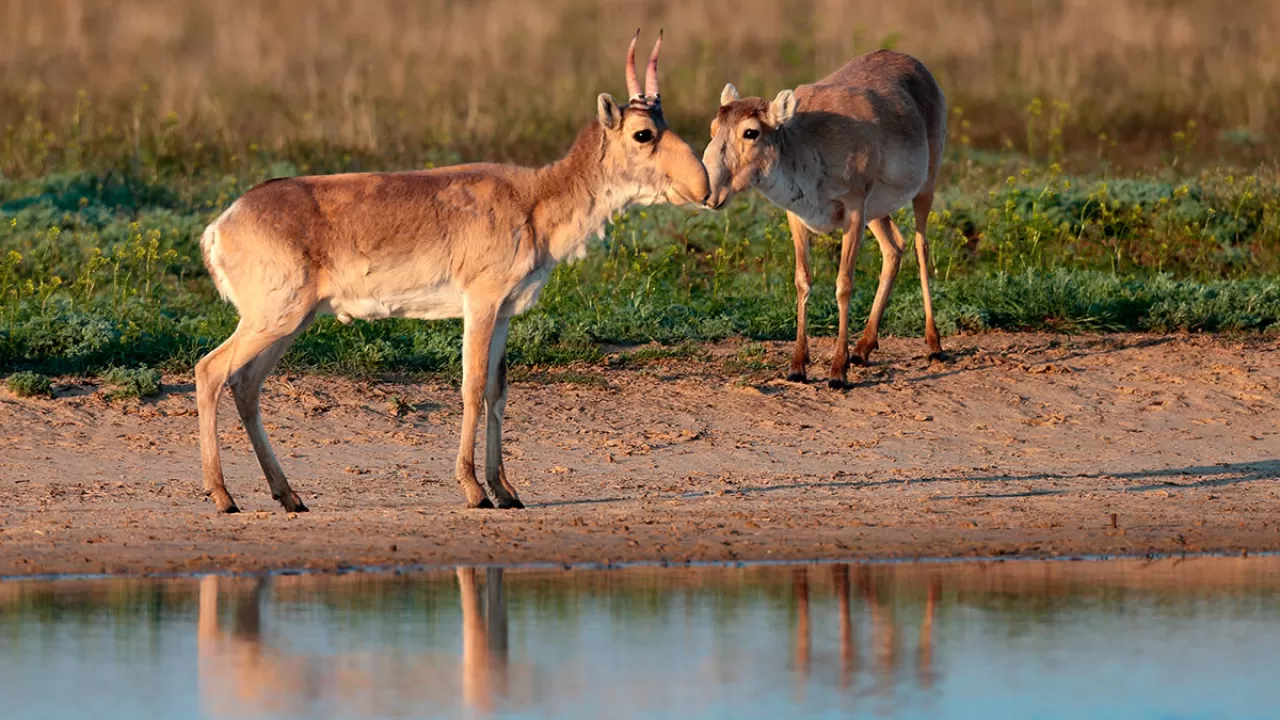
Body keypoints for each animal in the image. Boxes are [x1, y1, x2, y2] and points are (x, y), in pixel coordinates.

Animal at [197, 33, 711, 512]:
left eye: (665, 123)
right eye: (643, 134)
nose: (703, 187)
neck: (535, 199)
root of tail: (222, 224)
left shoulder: (504, 312)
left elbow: (498, 391)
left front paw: (506, 490)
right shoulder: (480, 303)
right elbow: (471, 388)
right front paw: (474, 489)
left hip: (290, 322)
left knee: (245, 385)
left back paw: (289, 495)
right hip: (273, 318)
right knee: (210, 371)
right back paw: (224, 496)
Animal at [706, 49, 947, 386]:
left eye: (750, 132)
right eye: (713, 128)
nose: (709, 192)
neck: (806, 145)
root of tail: (915, 63)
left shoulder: (854, 207)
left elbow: (844, 283)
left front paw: (837, 370)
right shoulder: (796, 215)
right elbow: (802, 280)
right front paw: (797, 365)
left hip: (926, 182)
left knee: (920, 247)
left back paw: (934, 344)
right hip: (877, 211)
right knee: (893, 248)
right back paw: (863, 347)